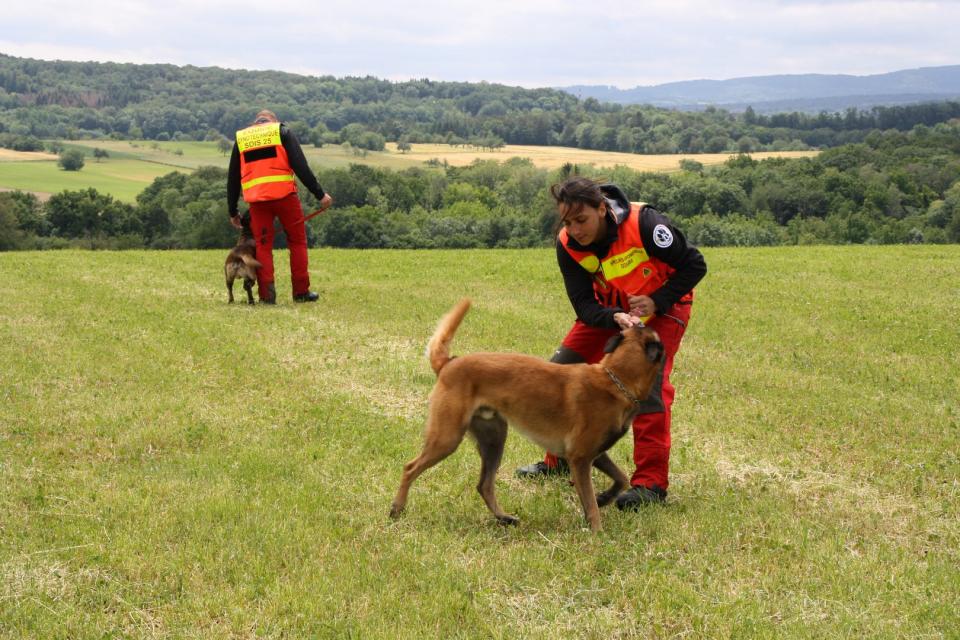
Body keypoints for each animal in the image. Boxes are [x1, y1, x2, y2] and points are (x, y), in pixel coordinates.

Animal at [390, 298, 665, 532]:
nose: (645, 316)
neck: (616, 378)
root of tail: (449, 363)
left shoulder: (595, 454)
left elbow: (621, 479)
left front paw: (605, 497)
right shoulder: (580, 458)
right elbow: (591, 504)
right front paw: (597, 532)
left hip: (493, 440)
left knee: (484, 484)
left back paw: (503, 517)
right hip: (447, 438)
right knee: (410, 468)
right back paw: (396, 510)